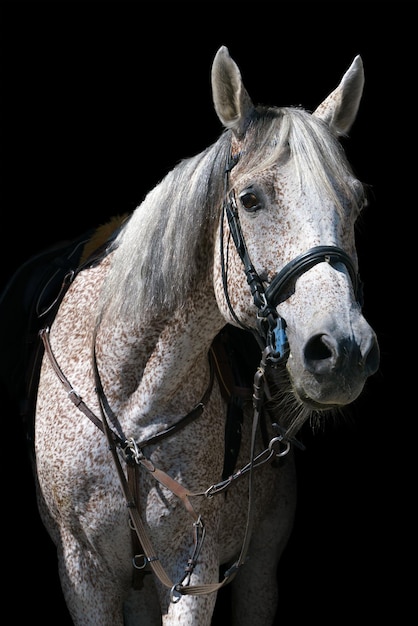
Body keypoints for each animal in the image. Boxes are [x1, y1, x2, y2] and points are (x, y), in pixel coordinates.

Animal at [8, 46, 378, 620]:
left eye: (356, 205)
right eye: (250, 199)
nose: (344, 352)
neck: (133, 396)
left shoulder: (192, 566)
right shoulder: (84, 574)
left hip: (258, 567)